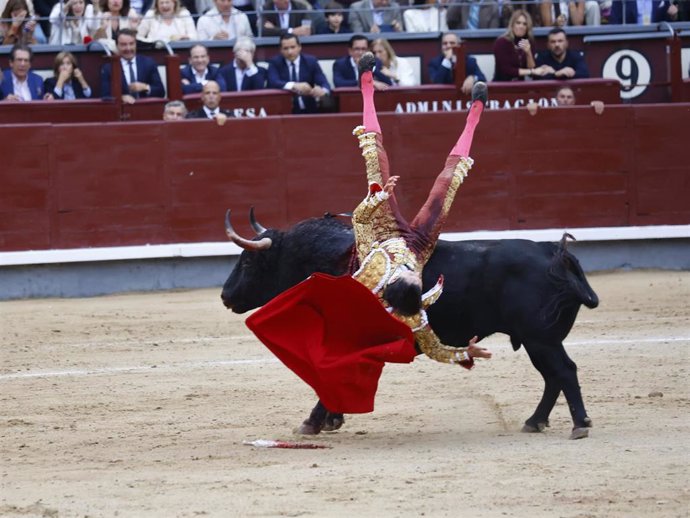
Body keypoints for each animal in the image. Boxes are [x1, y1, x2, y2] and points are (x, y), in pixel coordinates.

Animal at [222, 214, 596, 438]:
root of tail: (554, 254)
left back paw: (578, 424)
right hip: (538, 340)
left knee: (563, 372)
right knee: (554, 377)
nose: (225, 295)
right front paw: (332, 419)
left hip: (540, 339)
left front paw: (315, 421)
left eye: (248, 261)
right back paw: (535, 422)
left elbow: (329, 376)